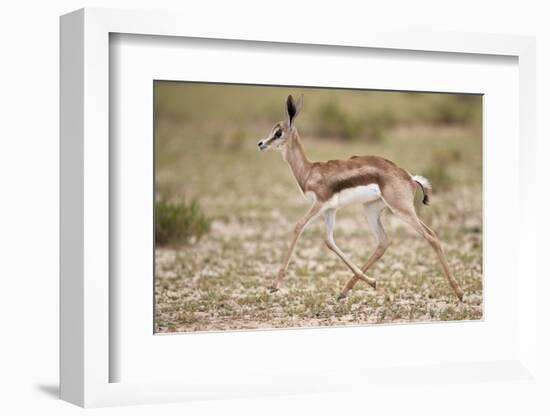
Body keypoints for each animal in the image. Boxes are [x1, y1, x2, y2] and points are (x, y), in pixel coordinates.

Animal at [258, 95, 466, 302]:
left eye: (278, 132)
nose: (260, 144)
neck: (309, 171)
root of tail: (409, 177)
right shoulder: (330, 209)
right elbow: (329, 241)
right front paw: (372, 282)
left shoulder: (319, 204)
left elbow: (298, 227)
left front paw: (274, 285)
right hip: (371, 210)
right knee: (383, 242)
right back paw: (347, 290)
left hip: (401, 210)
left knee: (431, 236)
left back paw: (459, 292)